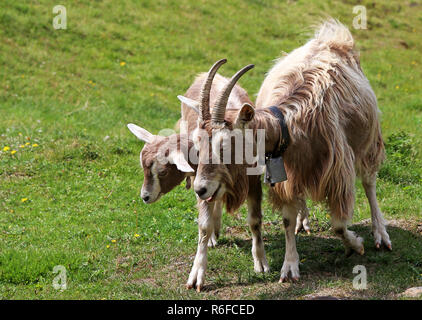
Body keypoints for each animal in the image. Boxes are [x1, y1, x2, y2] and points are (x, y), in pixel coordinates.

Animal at [190, 19, 390, 282]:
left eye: (225, 143)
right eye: (198, 143)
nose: (200, 189)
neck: (289, 126)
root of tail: (333, 40)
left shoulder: (338, 173)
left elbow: (338, 223)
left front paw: (356, 245)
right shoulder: (286, 176)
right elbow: (286, 219)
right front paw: (290, 266)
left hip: (369, 138)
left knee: (369, 182)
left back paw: (380, 234)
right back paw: (302, 221)